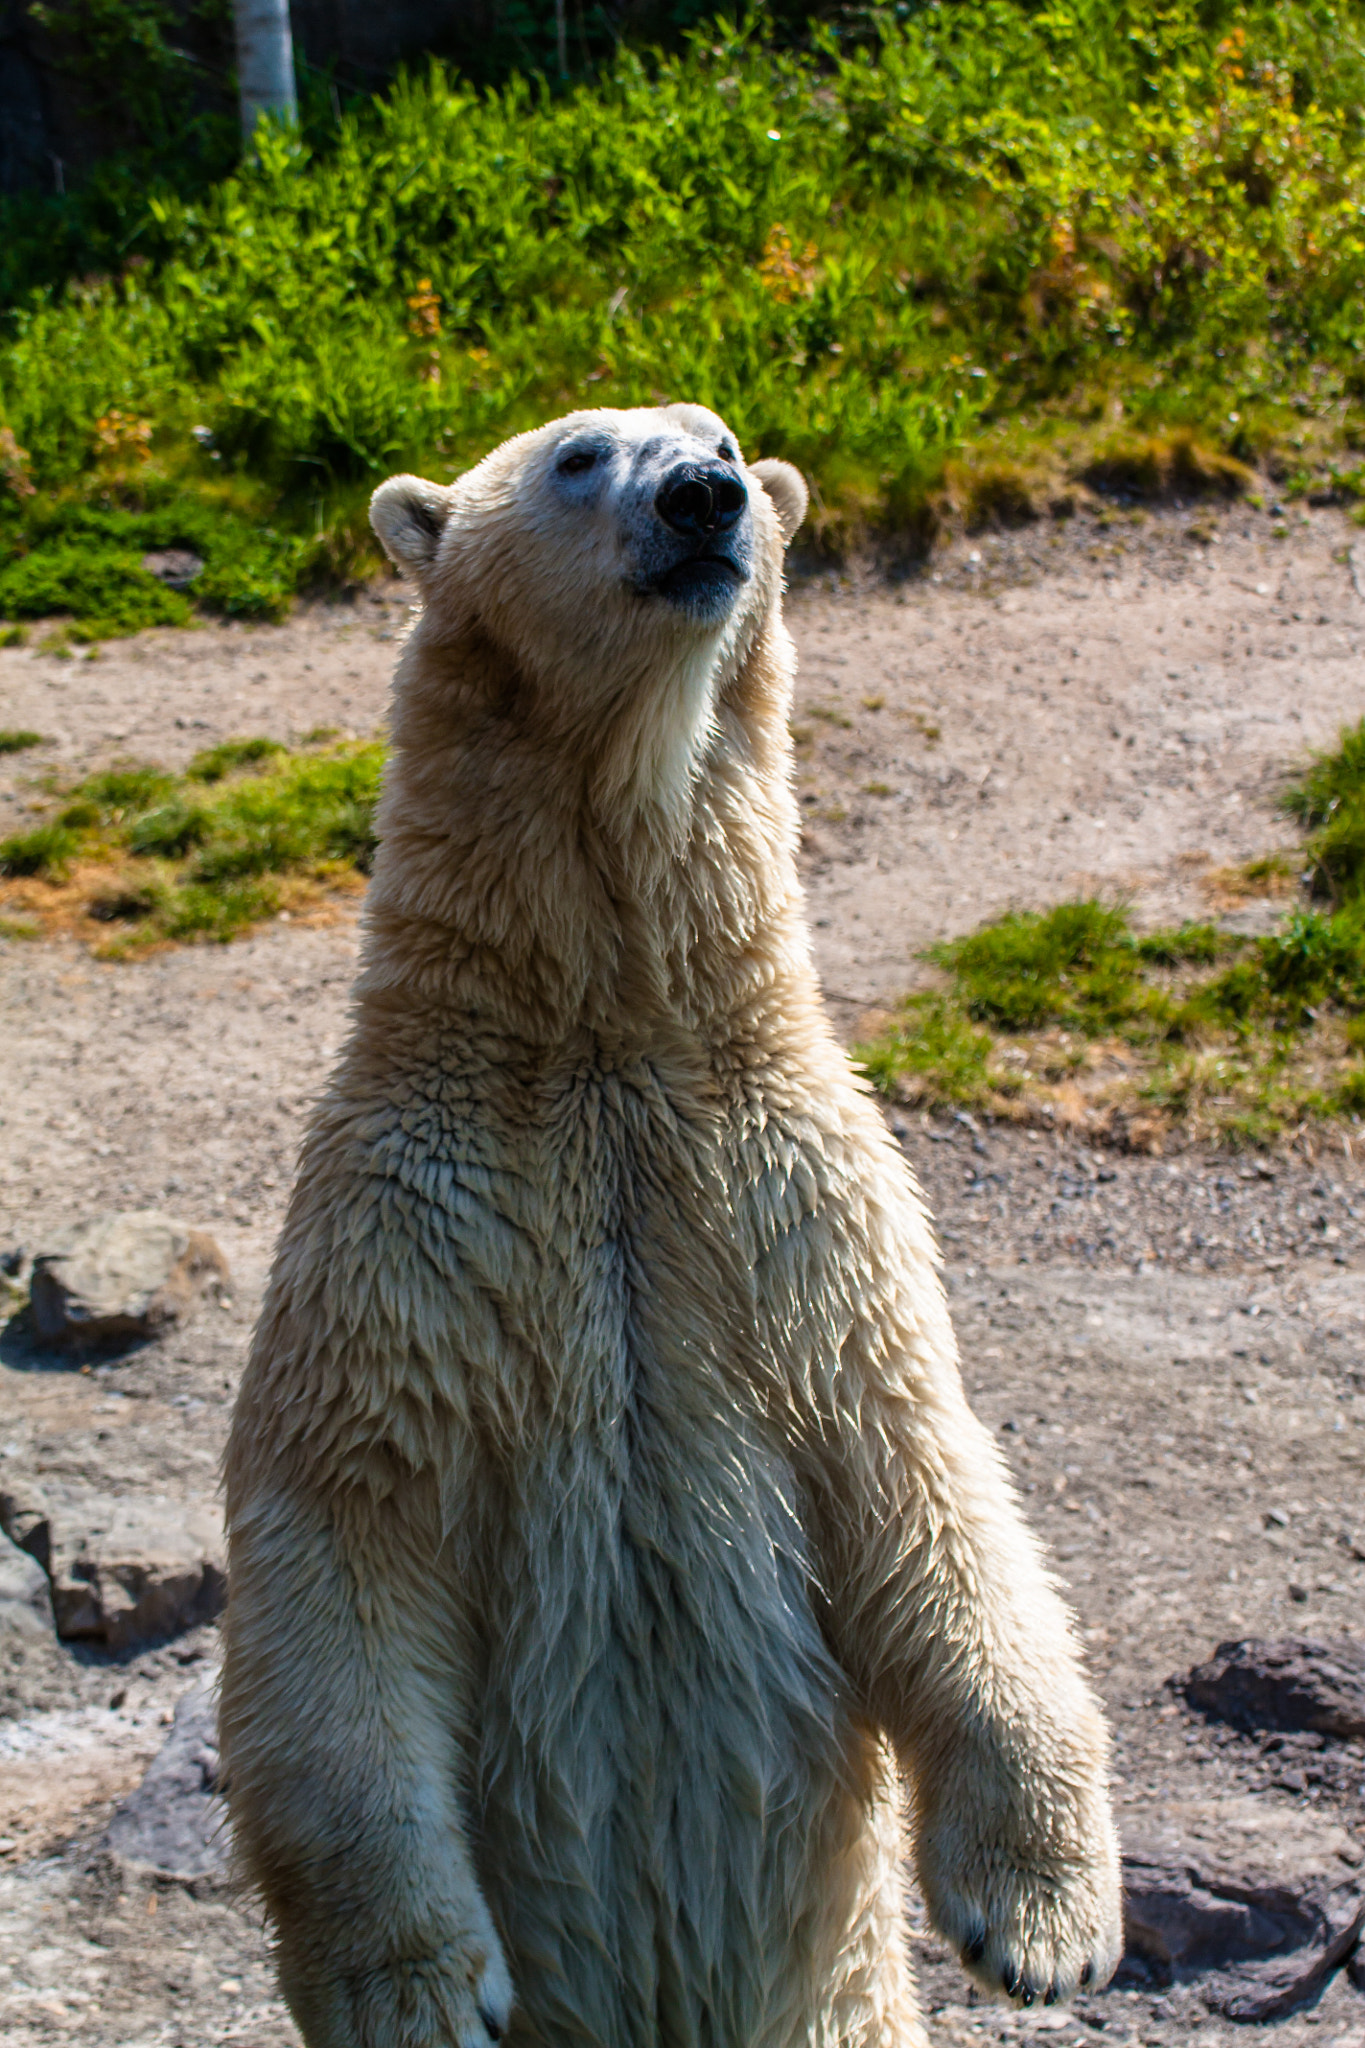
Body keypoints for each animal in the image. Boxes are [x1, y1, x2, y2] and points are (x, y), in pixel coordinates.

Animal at [221, 403, 1122, 2048]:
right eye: (581, 453)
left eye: (725, 435)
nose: (707, 498)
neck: (602, 1041)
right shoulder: (408, 1229)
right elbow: (346, 1534)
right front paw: (420, 1992)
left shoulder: (794, 1198)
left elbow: (926, 1479)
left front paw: (1043, 1922)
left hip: (835, 2006)